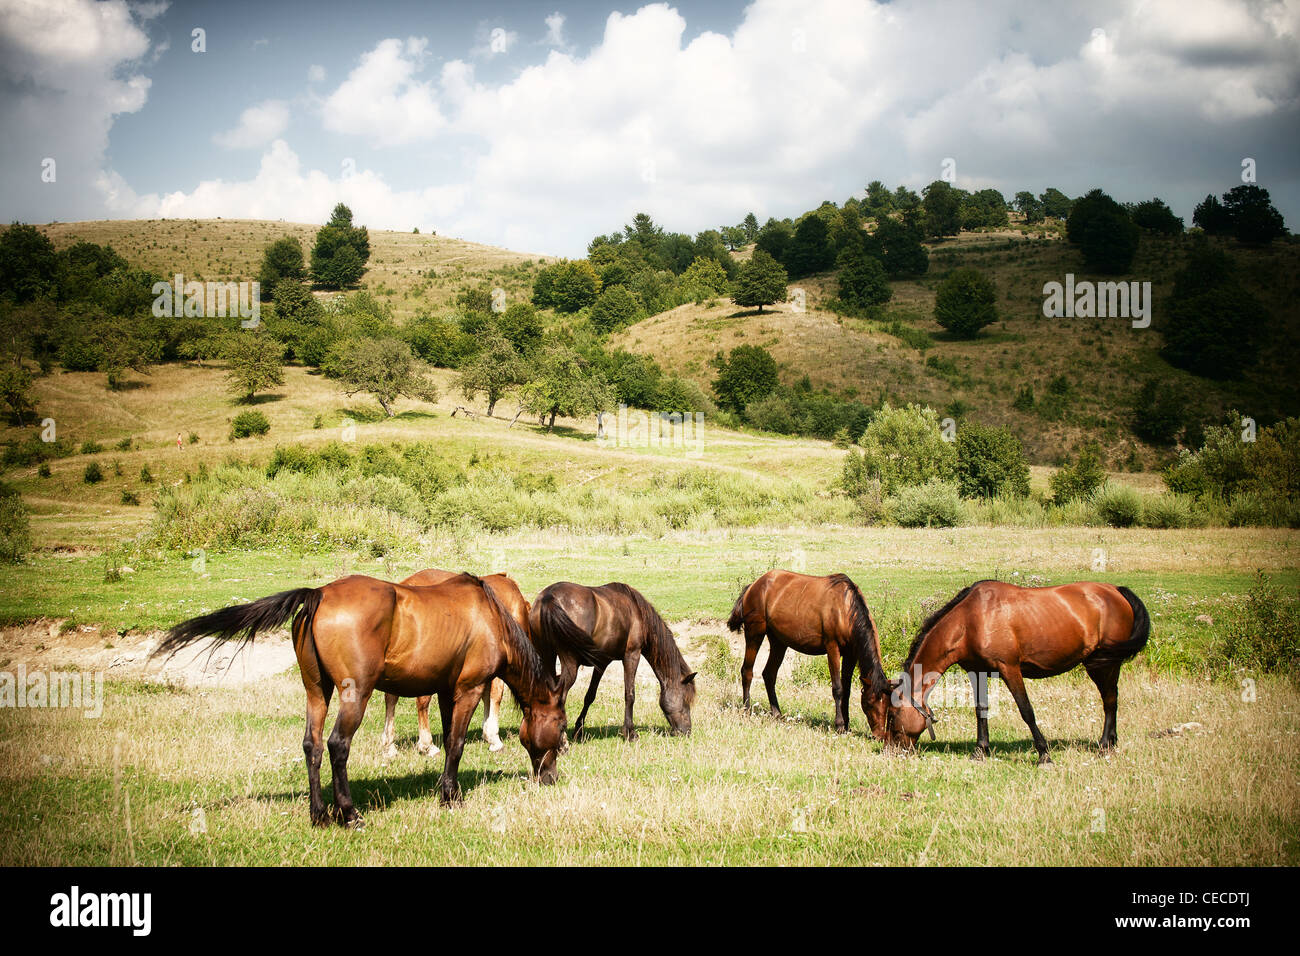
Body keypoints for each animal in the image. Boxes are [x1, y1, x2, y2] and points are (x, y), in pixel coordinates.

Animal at [379, 569, 527, 758]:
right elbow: (495, 694)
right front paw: (494, 738)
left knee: (391, 697)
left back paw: (390, 746)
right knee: (422, 701)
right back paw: (427, 745)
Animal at [530, 582, 696, 740]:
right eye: (686, 700)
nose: (687, 731)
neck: (637, 611)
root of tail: (549, 597)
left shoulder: (602, 663)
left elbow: (590, 696)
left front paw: (579, 730)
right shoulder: (632, 655)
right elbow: (630, 695)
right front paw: (630, 733)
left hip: (547, 657)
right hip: (570, 664)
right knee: (559, 696)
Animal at [727, 570, 892, 737]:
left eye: (887, 704)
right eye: (869, 703)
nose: (879, 735)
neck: (845, 609)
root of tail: (753, 585)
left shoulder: (850, 655)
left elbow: (847, 690)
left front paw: (846, 725)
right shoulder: (832, 648)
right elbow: (838, 688)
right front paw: (839, 725)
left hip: (779, 642)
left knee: (769, 674)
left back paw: (777, 713)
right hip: (755, 633)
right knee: (747, 671)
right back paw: (747, 709)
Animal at [886, 580, 1150, 764]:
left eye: (892, 715)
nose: (891, 749)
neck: (970, 620)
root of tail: (1116, 590)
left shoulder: (1009, 669)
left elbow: (1026, 711)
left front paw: (1044, 755)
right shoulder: (977, 671)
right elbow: (981, 710)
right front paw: (980, 751)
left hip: (1102, 664)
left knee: (1110, 701)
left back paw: (1105, 745)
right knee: (1111, 699)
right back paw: (1110, 743)